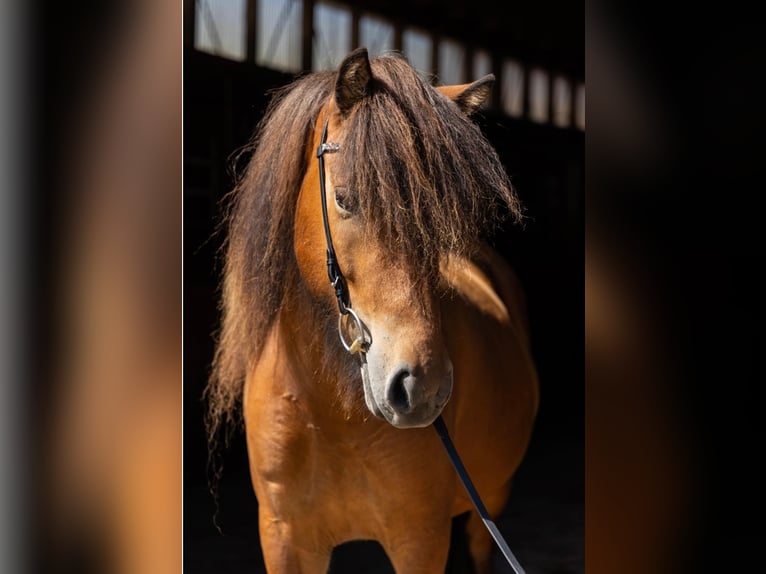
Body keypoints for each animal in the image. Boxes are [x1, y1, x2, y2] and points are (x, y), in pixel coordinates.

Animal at [206, 47, 539, 573]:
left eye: (444, 219)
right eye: (345, 199)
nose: (421, 389)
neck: (329, 414)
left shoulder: (420, 539)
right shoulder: (283, 539)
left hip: (491, 500)